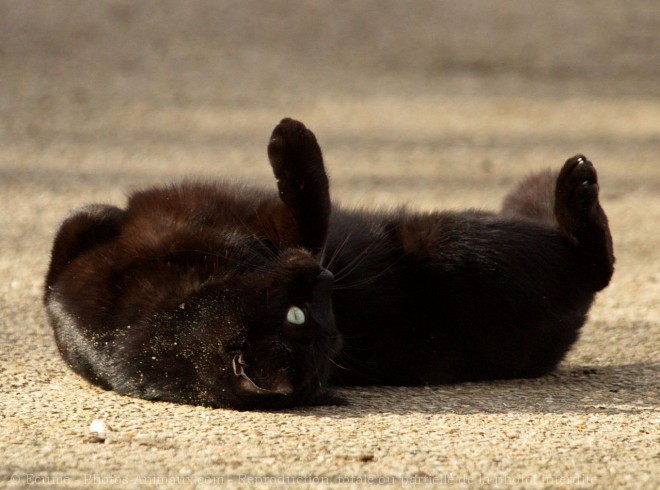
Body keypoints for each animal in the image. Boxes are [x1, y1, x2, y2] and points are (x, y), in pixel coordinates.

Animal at [45, 118, 612, 410]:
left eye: (327, 315)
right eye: (302, 318)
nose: (326, 277)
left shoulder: (65, 268)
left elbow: (77, 224)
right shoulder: (289, 235)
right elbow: (307, 196)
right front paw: (291, 137)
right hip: (457, 240)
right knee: (598, 265)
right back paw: (576, 187)